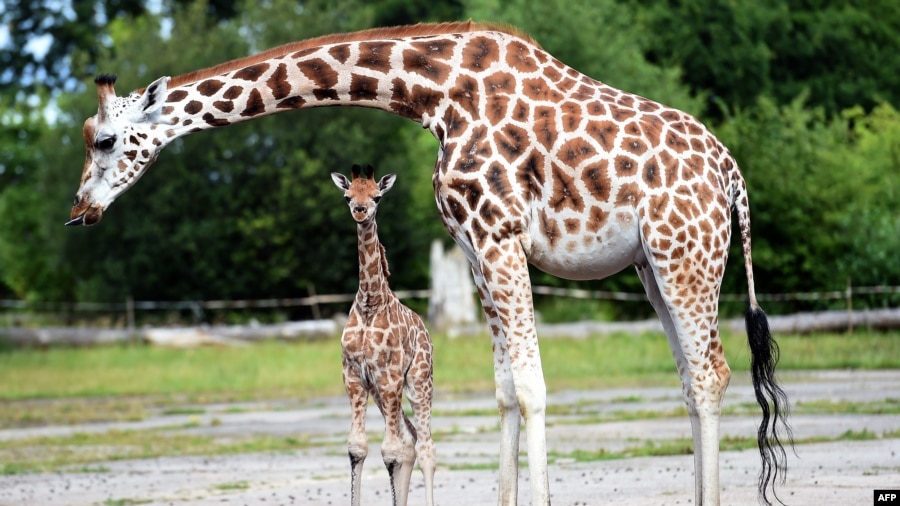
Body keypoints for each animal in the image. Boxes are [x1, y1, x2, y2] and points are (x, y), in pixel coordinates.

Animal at [332, 166, 438, 506]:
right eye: (347, 196)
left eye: (377, 197)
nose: (360, 211)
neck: (370, 302)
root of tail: (426, 331)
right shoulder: (355, 375)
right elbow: (358, 447)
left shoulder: (390, 376)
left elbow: (389, 450)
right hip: (382, 392)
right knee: (410, 441)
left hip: (418, 381)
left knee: (425, 447)